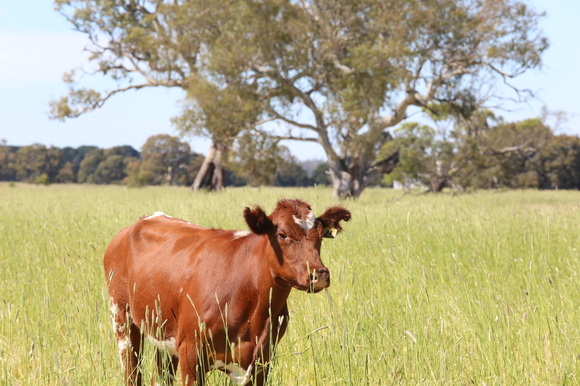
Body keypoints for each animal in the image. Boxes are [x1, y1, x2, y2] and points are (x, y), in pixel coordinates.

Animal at [103, 199, 348, 386]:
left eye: (321, 235)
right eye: (282, 235)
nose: (319, 274)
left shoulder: (261, 362)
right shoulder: (191, 355)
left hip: (163, 335)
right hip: (122, 318)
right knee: (132, 374)